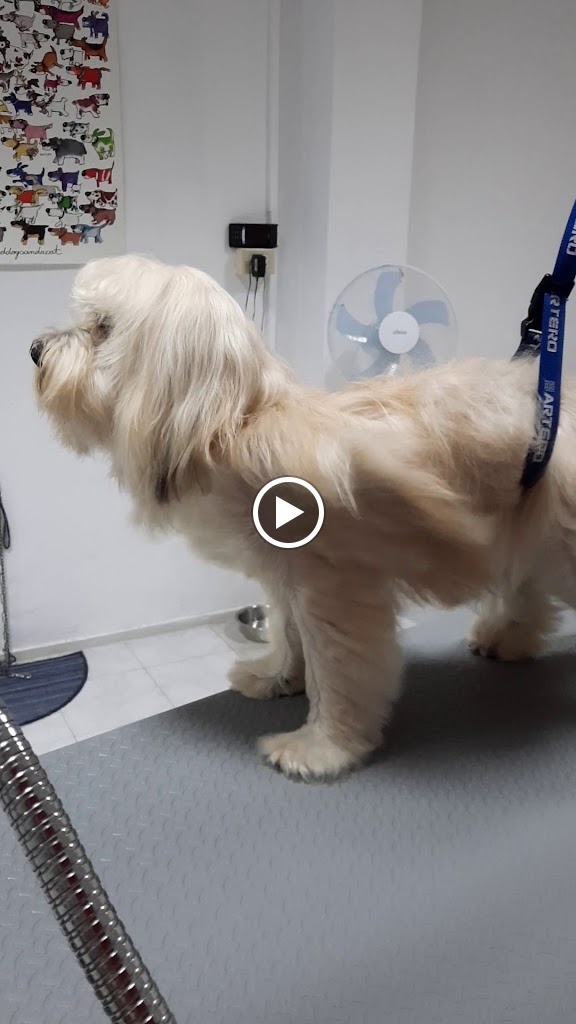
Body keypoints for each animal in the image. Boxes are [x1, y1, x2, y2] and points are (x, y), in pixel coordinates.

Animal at [32, 254, 576, 782]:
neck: (237, 427)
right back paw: (507, 638)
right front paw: (276, 678)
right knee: (526, 588)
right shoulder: (288, 577)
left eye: (102, 327)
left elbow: (337, 672)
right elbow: (290, 637)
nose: (36, 348)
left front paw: (322, 747)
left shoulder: (335, 591)